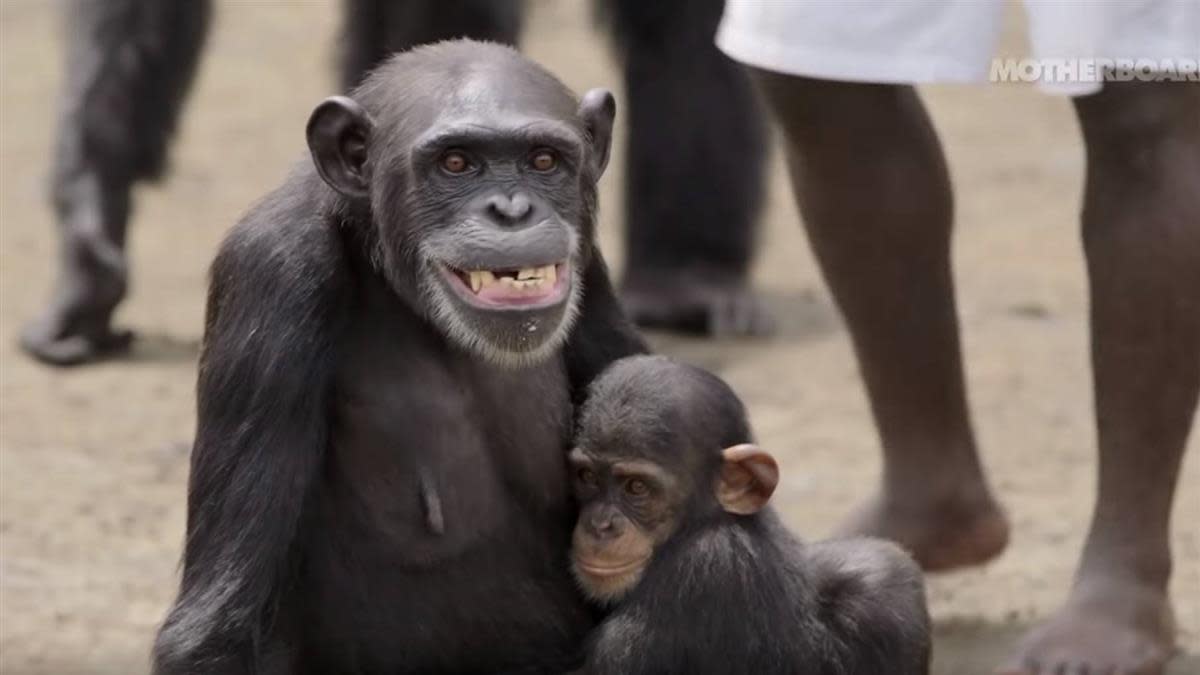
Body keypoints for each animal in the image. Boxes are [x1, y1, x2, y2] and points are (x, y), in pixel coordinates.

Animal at [154, 39, 652, 667]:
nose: (511, 210)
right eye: (456, 164)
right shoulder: (271, 271)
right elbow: (220, 626)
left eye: (544, 161)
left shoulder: (591, 266)